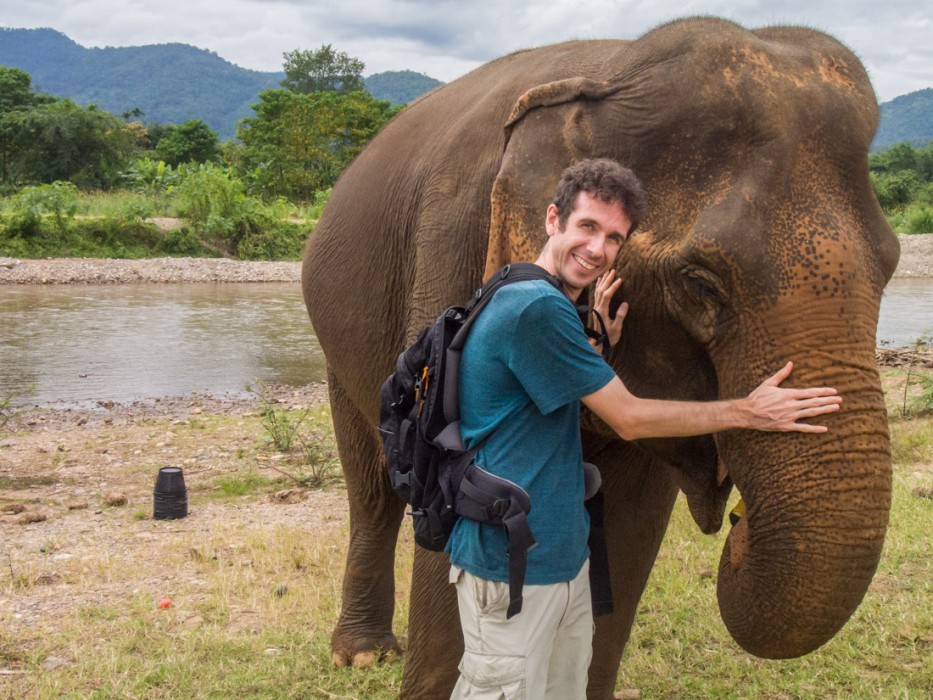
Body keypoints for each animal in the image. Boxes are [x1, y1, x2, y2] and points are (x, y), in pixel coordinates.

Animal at [302, 16, 900, 700]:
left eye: (892, 266)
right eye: (701, 284)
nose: (740, 524)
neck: (613, 74)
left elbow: (632, 524)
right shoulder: (455, 238)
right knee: (372, 485)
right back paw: (362, 655)